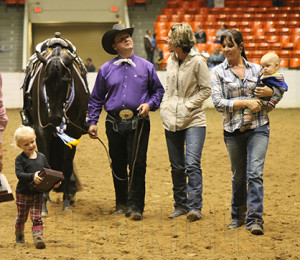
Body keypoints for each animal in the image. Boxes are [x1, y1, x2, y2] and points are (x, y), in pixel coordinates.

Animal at [23, 44, 89, 214]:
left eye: (66, 81)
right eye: (45, 81)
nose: (55, 118)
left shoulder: (73, 133)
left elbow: (66, 167)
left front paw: (66, 202)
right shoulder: (42, 131)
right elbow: (44, 163)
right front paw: (43, 204)